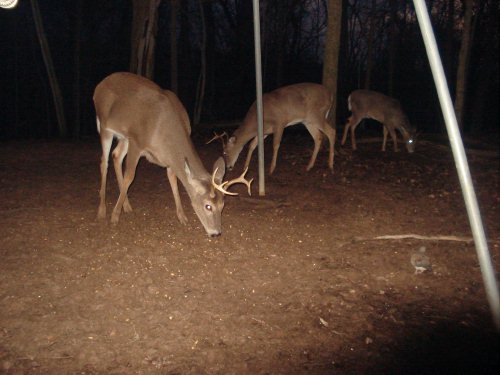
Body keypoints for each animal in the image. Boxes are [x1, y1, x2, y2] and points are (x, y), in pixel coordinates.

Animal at [92, 72, 252, 238]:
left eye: (222, 204)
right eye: (208, 206)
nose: (216, 233)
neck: (164, 130)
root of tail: (100, 84)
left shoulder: (169, 159)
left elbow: (173, 180)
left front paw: (182, 217)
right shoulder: (137, 141)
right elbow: (130, 176)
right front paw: (114, 216)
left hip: (124, 138)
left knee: (116, 156)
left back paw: (127, 206)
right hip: (105, 127)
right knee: (104, 162)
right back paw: (102, 211)